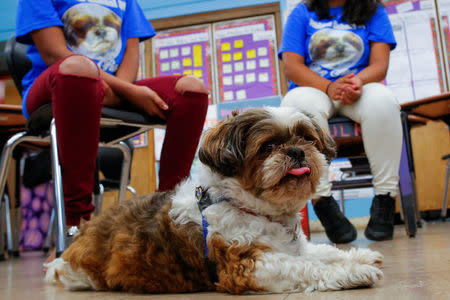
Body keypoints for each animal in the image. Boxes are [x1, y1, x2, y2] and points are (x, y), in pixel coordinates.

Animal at [44, 107, 384, 292]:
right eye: (267, 147)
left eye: (306, 137)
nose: (297, 151)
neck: (253, 208)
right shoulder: (247, 265)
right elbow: (307, 267)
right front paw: (354, 272)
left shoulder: (293, 247)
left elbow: (323, 252)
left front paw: (357, 257)